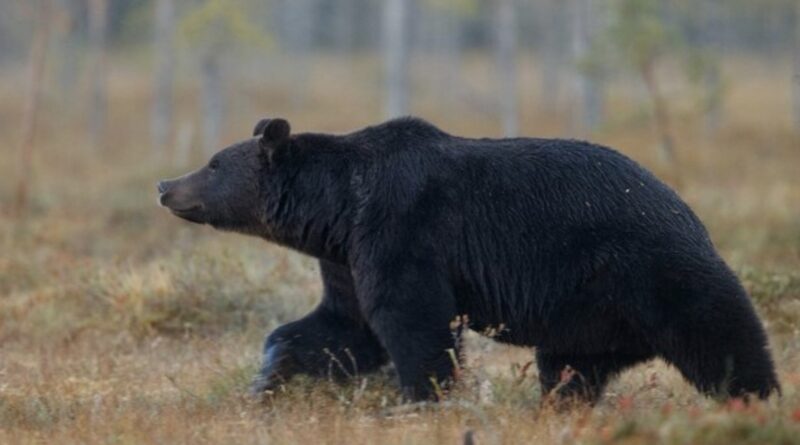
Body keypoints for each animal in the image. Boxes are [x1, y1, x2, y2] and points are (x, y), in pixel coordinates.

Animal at [157, 116, 780, 404]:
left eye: (213, 163)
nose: (165, 185)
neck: (337, 208)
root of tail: (688, 211)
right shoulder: (347, 256)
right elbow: (342, 327)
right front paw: (267, 379)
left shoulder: (403, 228)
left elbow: (413, 322)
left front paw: (422, 399)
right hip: (585, 316)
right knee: (570, 371)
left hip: (649, 268)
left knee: (722, 336)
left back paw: (757, 399)